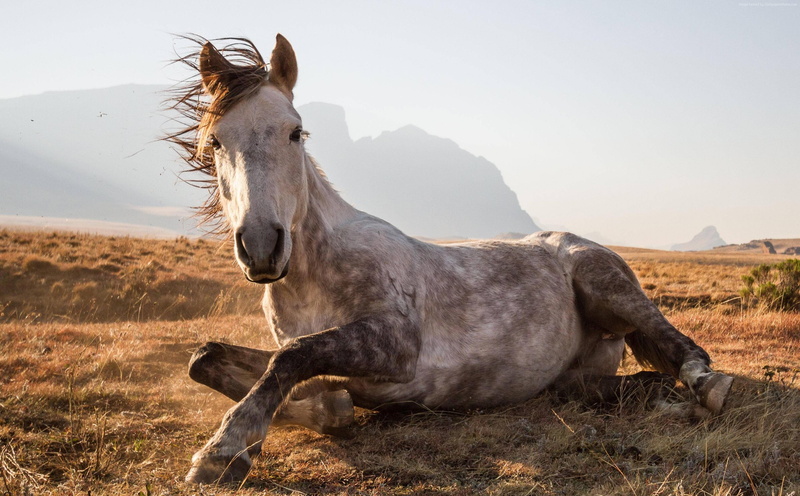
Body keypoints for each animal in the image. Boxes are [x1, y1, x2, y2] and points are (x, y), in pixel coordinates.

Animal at [166, 34, 733, 484]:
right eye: (215, 141)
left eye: (295, 132)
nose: (262, 245)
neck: (313, 274)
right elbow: (210, 357)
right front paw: (324, 409)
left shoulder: (395, 344)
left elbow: (291, 356)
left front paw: (224, 449)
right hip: (572, 376)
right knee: (607, 386)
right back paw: (654, 395)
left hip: (607, 284)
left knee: (683, 348)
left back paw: (705, 386)